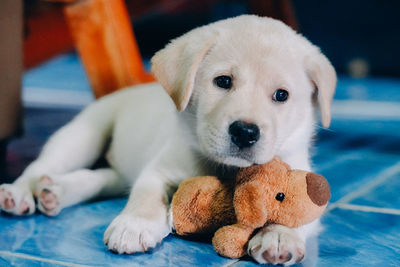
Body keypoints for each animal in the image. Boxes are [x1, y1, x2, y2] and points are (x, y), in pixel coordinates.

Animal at [0, 15, 334, 266]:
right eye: (223, 81)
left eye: (282, 95)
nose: (245, 132)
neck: (226, 168)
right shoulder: (158, 170)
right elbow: (146, 197)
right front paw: (134, 225)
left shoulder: (306, 180)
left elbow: (296, 210)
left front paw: (278, 236)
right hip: (82, 136)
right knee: (38, 168)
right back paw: (19, 194)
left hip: (115, 166)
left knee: (100, 179)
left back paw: (55, 191)